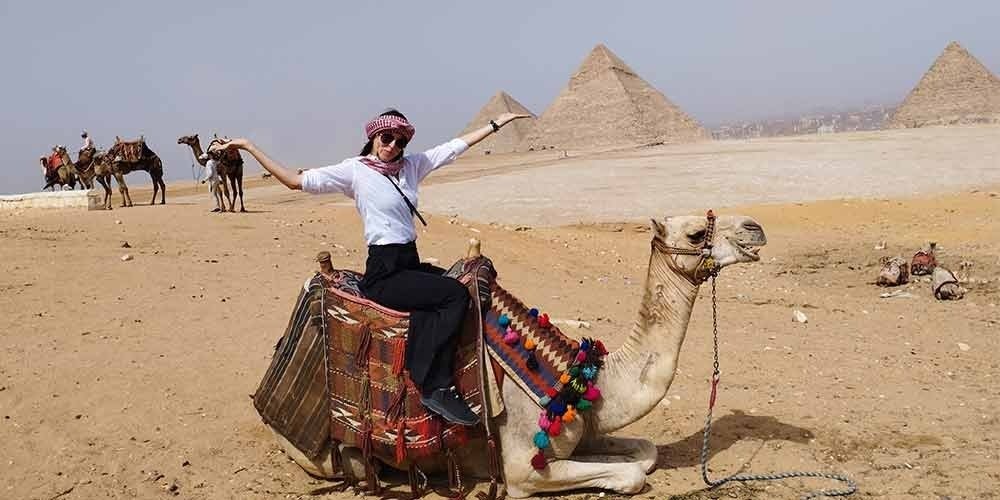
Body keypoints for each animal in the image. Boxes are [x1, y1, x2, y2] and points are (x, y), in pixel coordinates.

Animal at [269, 212, 767, 498]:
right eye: (698, 232)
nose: (755, 228)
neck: (587, 379)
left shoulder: (583, 432)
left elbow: (644, 454)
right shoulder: (521, 468)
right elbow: (632, 475)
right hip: (317, 451)